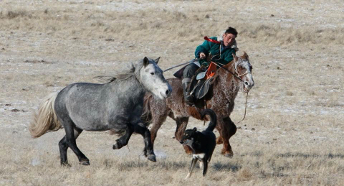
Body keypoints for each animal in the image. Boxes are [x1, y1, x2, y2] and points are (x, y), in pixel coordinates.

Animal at [29, 57, 172, 166]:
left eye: (161, 71)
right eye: (152, 73)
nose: (167, 90)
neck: (126, 96)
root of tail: (58, 94)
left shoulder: (136, 121)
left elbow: (145, 131)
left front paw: (151, 155)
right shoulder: (115, 123)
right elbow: (129, 129)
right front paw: (118, 144)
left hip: (77, 127)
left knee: (63, 143)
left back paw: (65, 164)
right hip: (68, 123)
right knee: (70, 141)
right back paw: (83, 160)